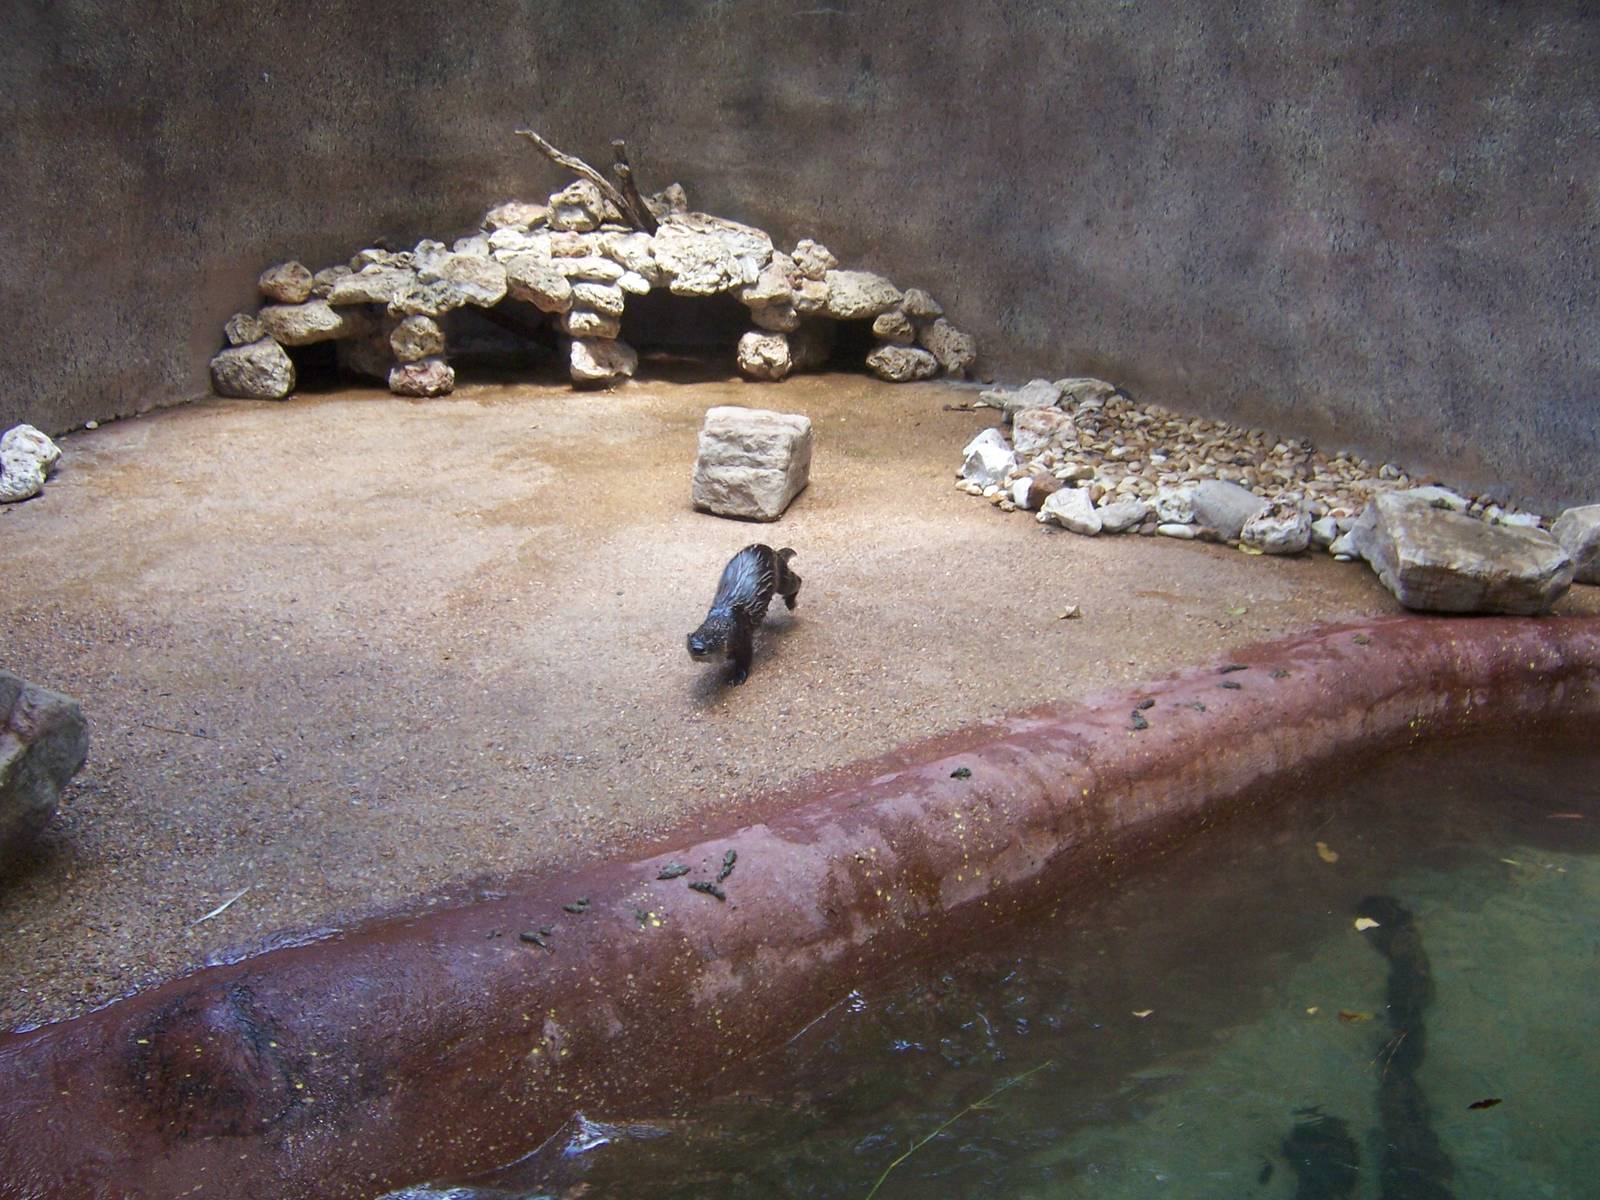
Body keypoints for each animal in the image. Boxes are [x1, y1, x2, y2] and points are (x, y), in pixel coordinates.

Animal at [687, 544, 801, 684]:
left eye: (711, 642)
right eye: (690, 643)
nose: (697, 649)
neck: (726, 617)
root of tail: (772, 551)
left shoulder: (743, 636)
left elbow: (745, 657)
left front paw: (738, 676)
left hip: (781, 578)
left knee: (796, 581)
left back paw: (791, 603)